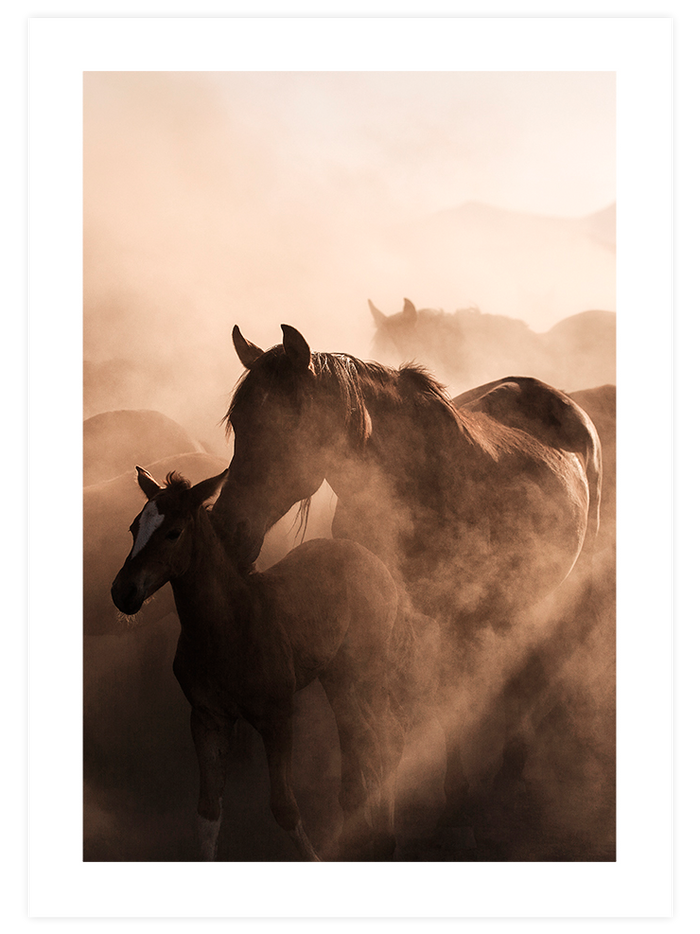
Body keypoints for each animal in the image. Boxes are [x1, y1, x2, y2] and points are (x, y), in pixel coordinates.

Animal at [111, 466, 404, 861]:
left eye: (174, 532)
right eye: (133, 528)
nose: (122, 592)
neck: (227, 626)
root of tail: (370, 557)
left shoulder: (277, 717)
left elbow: (284, 807)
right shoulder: (207, 718)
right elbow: (207, 813)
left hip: (368, 668)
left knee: (388, 736)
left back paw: (385, 834)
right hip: (336, 675)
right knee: (358, 735)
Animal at [213, 322, 603, 838]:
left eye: (284, 425)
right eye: (239, 425)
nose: (225, 529)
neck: (415, 478)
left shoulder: (450, 615)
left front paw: (448, 792)